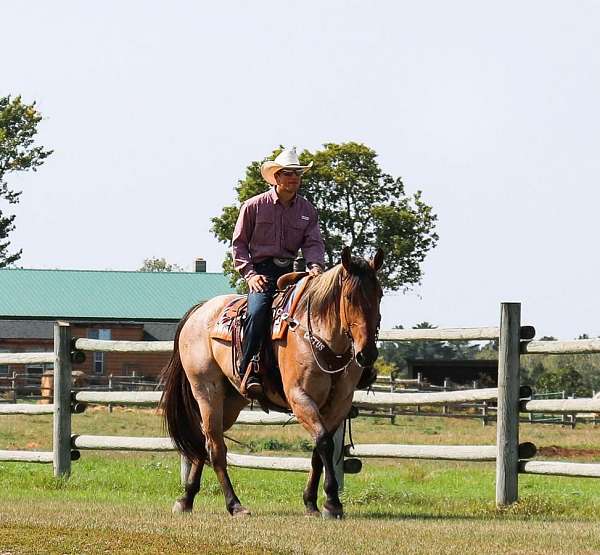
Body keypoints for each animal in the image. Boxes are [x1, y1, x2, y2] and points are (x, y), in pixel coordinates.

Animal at [161, 248, 384, 520]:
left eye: (380, 294)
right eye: (350, 297)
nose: (367, 354)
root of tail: (200, 309)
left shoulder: (339, 404)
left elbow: (319, 451)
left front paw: (312, 502)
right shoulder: (299, 397)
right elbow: (323, 441)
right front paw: (332, 502)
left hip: (230, 401)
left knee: (204, 442)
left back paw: (186, 498)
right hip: (206, 392)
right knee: (215, 448)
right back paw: (234, 504)